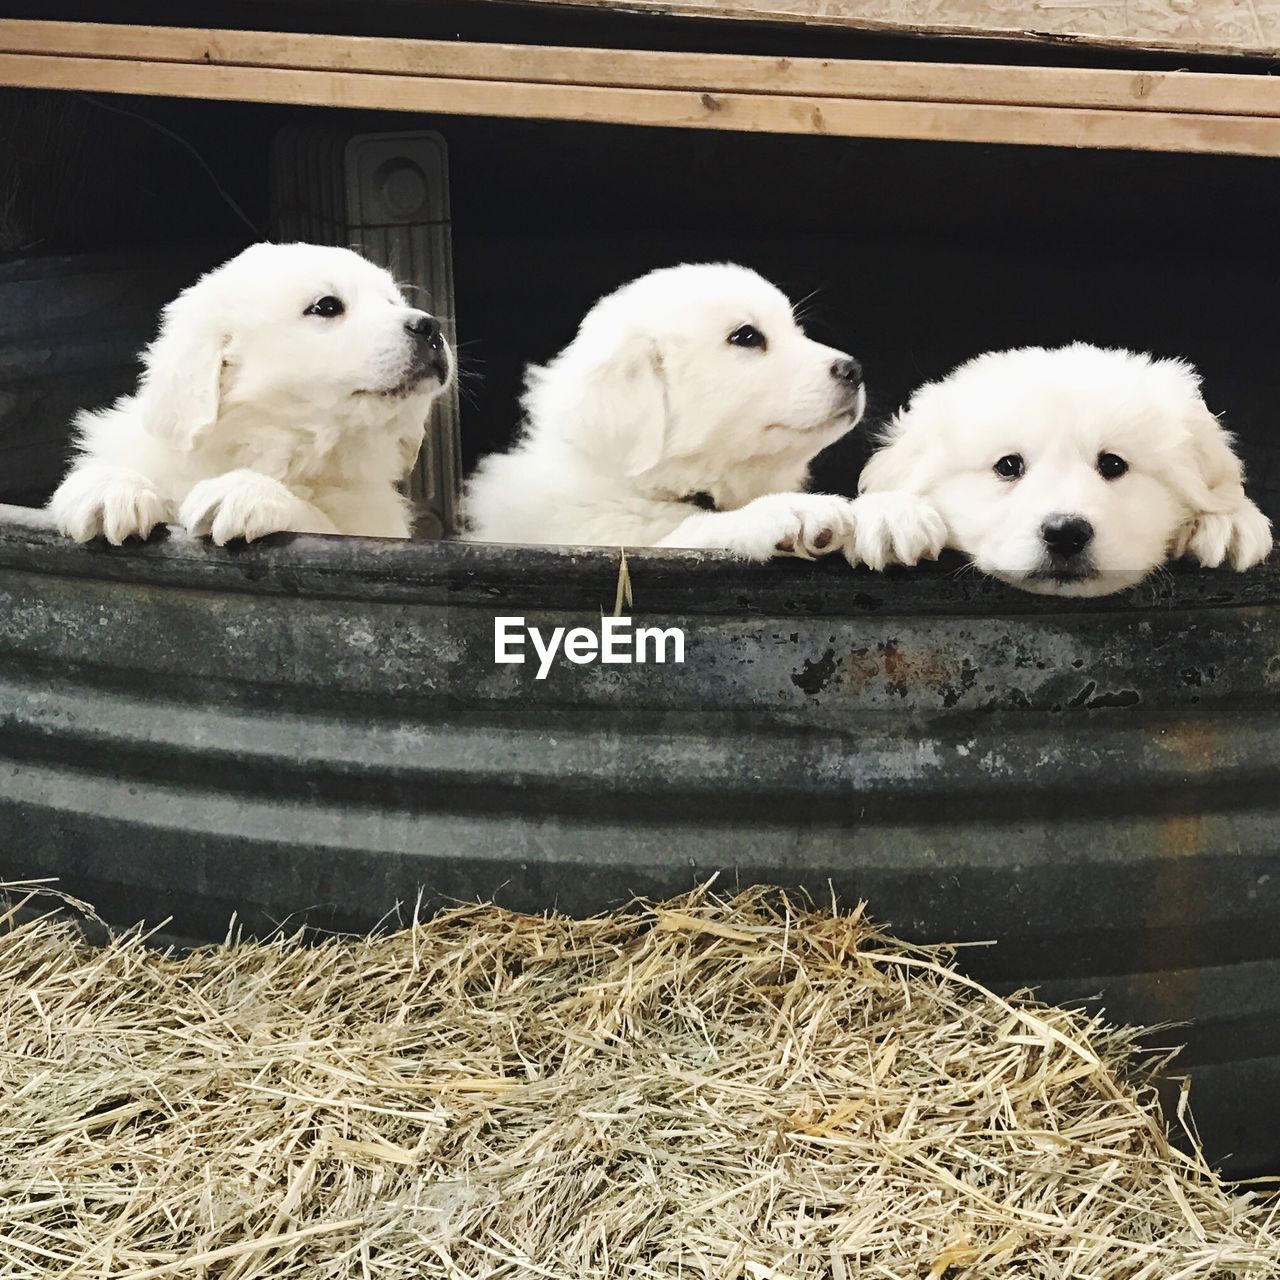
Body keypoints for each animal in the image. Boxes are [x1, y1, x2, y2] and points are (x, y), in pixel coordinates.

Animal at [47, 241, 453, 542]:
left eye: (391, 303)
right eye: (326, 306)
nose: (430, 327)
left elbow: (317, 519)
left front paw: (248, 491)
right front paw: (109, 488)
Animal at [460, 259, 942, 560]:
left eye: (796, 329)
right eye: (746, 337)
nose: (853, 370)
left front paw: (889, 511)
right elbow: (690, 530)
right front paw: (788, 511)